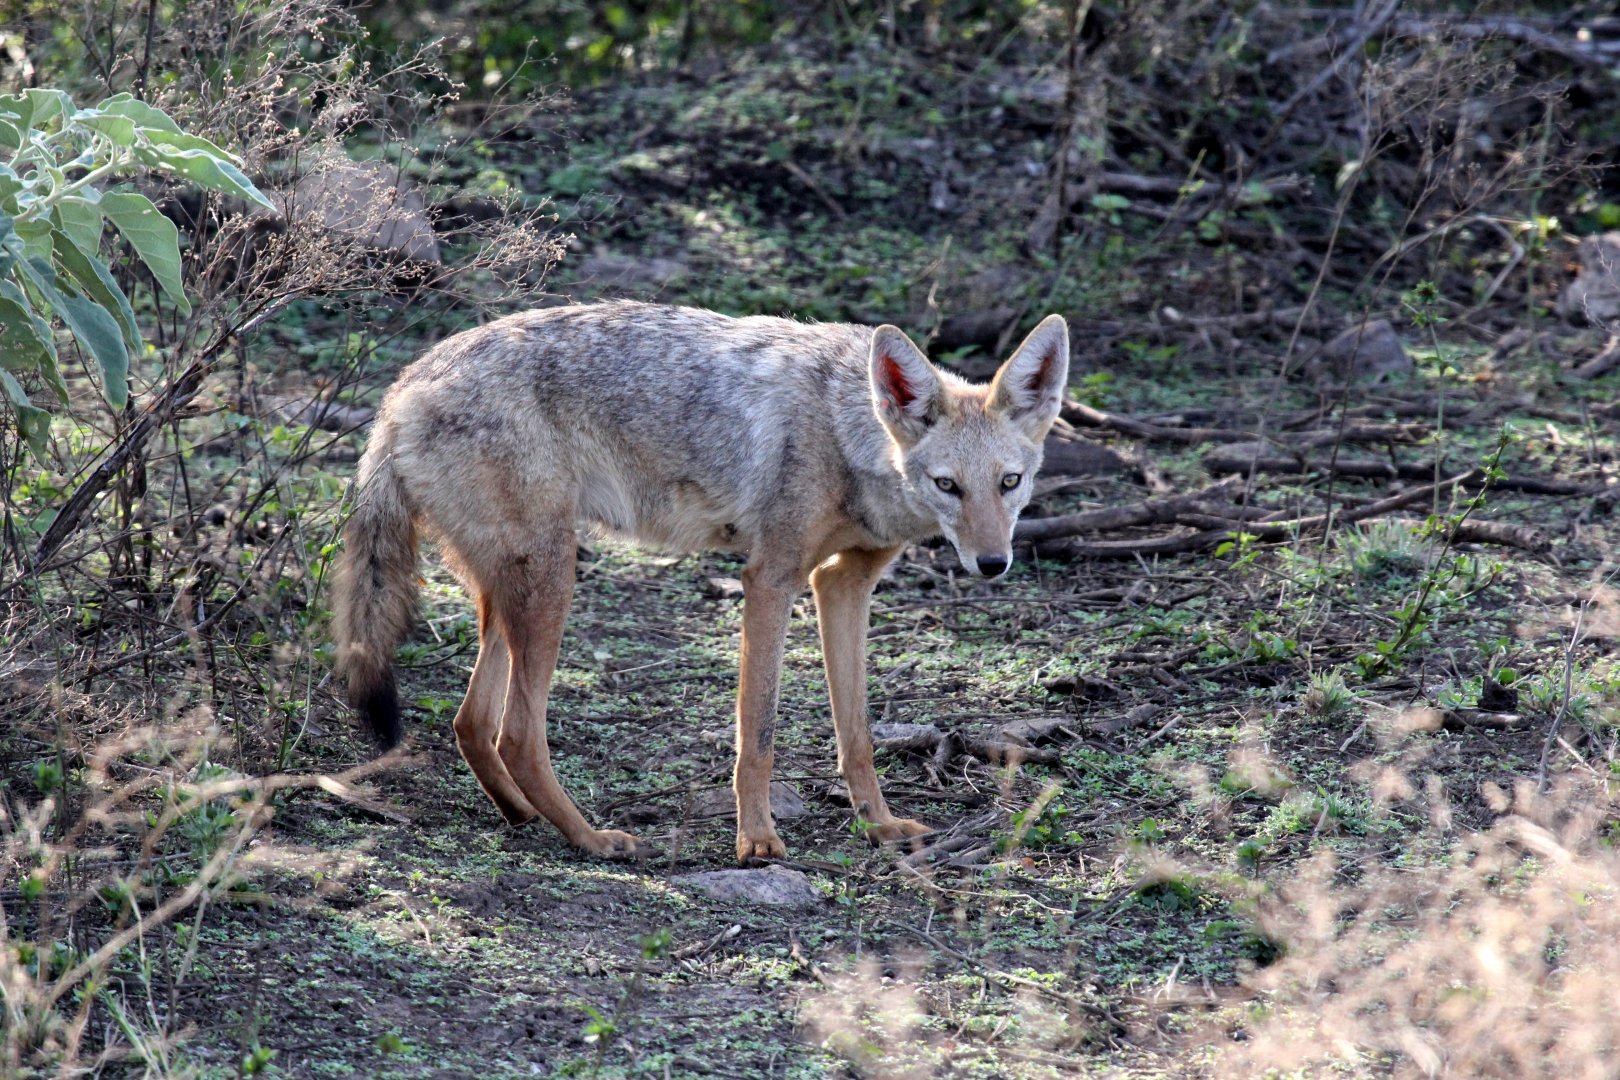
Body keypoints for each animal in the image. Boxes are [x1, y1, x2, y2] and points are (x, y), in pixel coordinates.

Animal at [331, 302, 1070, 862]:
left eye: (1010, 483)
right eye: (948, 486)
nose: (992, 563)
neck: (844, 431)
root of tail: (401, 389)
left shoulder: (844, 584)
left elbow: (856, 732)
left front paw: (880, 825)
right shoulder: (771, 579)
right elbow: (758, 734)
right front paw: (757, 840)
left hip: (510, 596)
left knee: (472, 721)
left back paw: (523, 818)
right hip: (552, 582)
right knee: (517, 732)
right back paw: (591, 839)